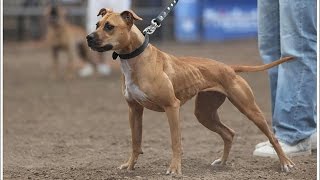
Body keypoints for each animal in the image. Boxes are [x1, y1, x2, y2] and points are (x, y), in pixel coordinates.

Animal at [85, 8, 296, 174]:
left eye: (109, 27)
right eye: (97, 24)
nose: (88, 37)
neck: (134, 58)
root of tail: (228, 67)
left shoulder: (172, 107)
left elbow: (175, 142)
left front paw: (174, 169)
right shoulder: (134, 110)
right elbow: (135, 142)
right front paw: (129, 166)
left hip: (249, 109)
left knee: (273, 137)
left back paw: (285, 163)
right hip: (204, 113)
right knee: (228, 133)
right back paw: (222, 162)